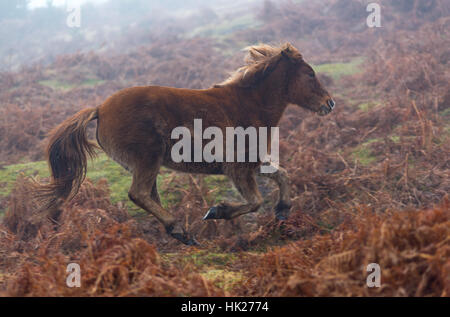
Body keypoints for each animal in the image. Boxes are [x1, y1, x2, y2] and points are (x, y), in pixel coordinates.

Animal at [37, 42, 334, 244]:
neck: (248, 104)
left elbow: (283, 175)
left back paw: (179, 231)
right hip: (148, 158)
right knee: (139, 193)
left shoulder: (252, 162)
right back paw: (180, 230)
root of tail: (100, 108)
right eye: (309, 74)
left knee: (148, 195)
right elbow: (255, 201)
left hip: (146, 164)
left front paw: (283, 210)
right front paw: (216, 211)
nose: (329, 103)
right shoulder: (238, 166)